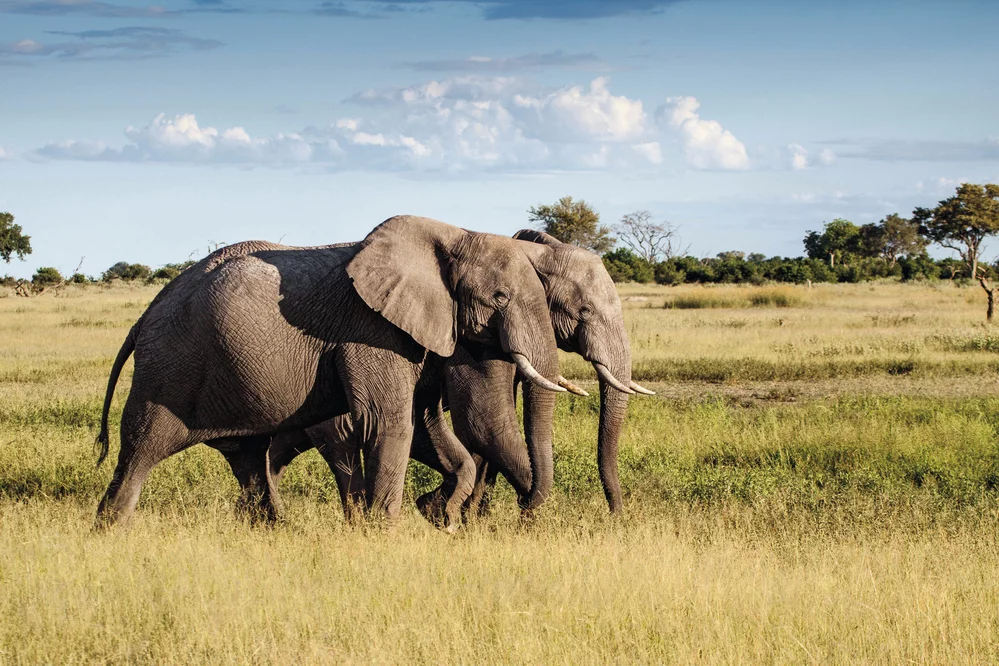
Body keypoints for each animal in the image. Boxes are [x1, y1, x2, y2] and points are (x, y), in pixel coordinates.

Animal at [94, 213, 568, 524]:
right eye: (500, 297)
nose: (524, 512)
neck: (453, 233)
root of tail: (145, 315)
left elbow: (424, 425)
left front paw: (436, 514)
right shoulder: (370, 329)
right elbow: (389, 423)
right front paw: (385, 534)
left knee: (248, 459)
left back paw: (271, 531)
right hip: (169, 366)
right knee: (141, 448)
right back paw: (112, 529)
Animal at [236, 231, 656, 520]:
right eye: (584, 311)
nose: (616, 515)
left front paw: (465, 516)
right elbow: (483, 425)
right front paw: (470, 518)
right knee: (338, 444)